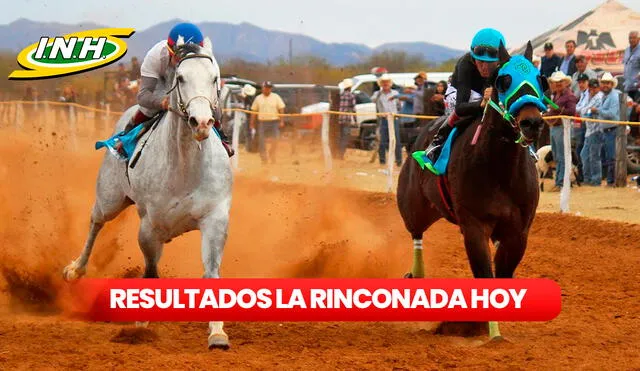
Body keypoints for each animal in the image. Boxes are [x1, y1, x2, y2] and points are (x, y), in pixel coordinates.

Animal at [61, 37, 232, 348]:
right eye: (180, 78)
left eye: (215, 78)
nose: (201, 122)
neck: (185, 166)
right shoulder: (150, 226)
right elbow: (151, 272)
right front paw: (141, 324)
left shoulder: (215, 219)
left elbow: (212, 272)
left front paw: (217, 333)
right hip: (110, 197)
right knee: (96, 222)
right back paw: (75, 269)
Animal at [396, 42, 544, 342]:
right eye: (504, 80)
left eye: (539, 78)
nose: (531, 123)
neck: (500, 168)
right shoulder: (474, 226)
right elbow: (485, 275)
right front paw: (491, 333)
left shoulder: (517, 232)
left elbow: (502, 277)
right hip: (413, 206)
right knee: (416, 233)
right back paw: (416, 276)